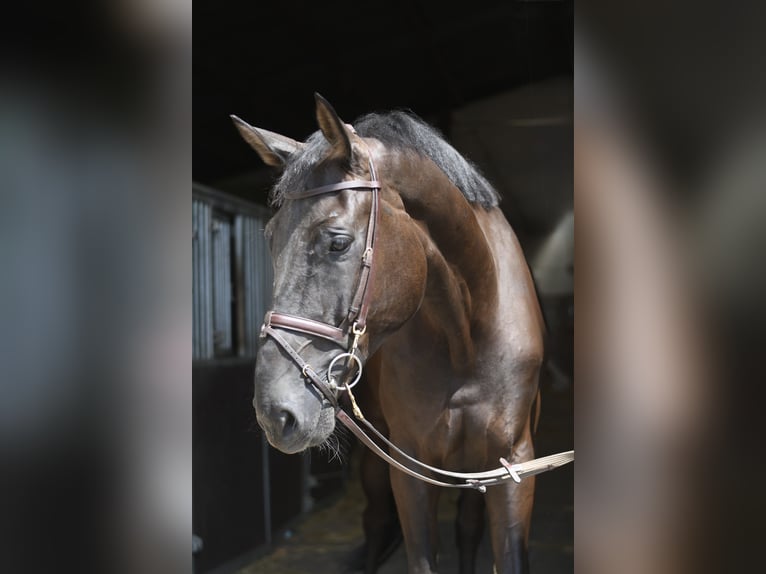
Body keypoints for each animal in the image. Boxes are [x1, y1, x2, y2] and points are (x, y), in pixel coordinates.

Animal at [232, 94, 545, 574]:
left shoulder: (513, 468)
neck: (468, 337)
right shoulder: (408, 468)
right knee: (377, 524)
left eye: (338, 242)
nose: (275, 413)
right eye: (269, 238)